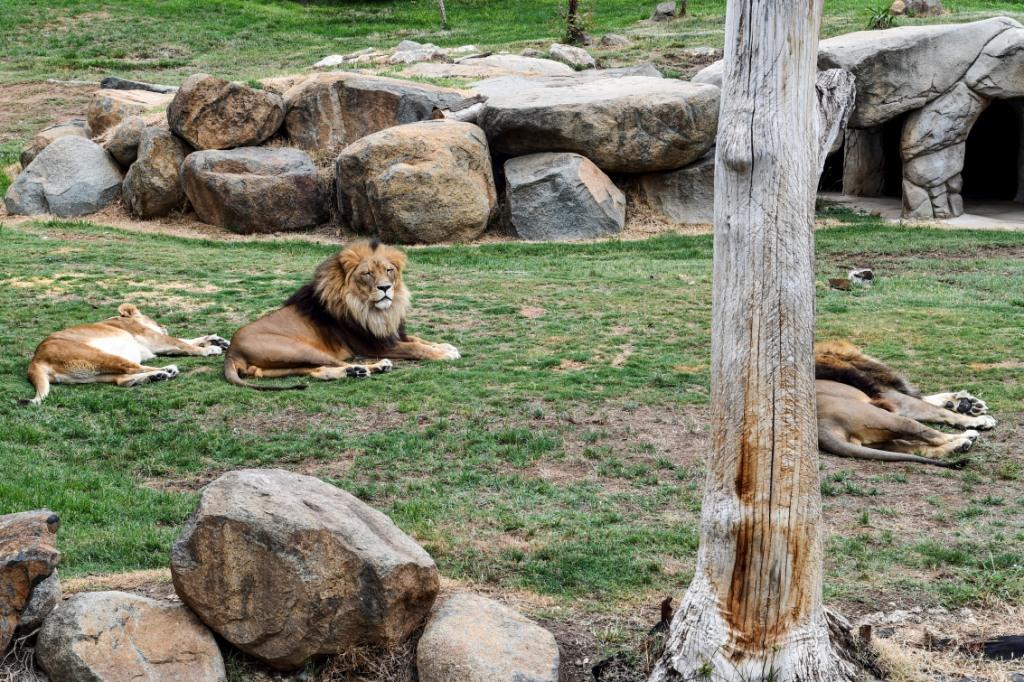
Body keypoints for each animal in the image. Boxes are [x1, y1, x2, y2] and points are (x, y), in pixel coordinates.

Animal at [23, 303, 231, 403]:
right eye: (154, 319)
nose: (164, 325)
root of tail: (35, 359)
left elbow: (188, 339)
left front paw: (217, 340)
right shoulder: (154, 339)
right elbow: (182, 343)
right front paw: (211, 348)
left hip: (94, 374)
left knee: (121, 380)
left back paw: (156, 376)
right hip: (99, 355)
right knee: (133, 368)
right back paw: (167, 370)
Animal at [226, 238, 462, 387]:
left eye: (389, 270)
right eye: (367, 274)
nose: (385, 288)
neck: (377, 311)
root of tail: (231, 351)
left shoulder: (391, 333)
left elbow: (419, 339)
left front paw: (445, 346)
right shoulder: (375, 345)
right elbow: (415, 347)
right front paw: (445, 354)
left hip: (281, 365)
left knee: (317, 370)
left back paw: (356, 372)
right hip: (297, 349)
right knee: (335, 362)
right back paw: (375, 366)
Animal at [811, 339, 995, 466]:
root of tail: (823, 428)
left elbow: (927, 401)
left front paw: (966, 404)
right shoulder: (892, 398)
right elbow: (937, 410)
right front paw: (979, 420)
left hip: (882, 440)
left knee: (918, 448)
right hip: (891, 419)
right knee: (932, 435)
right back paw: (966, 436)